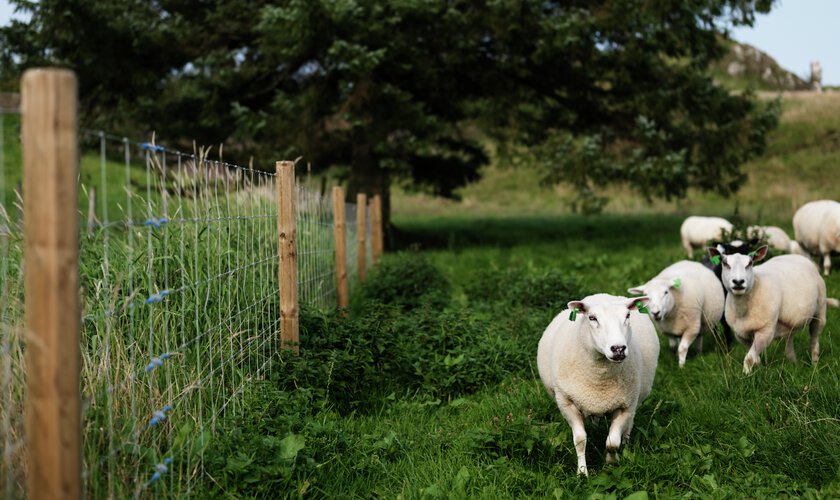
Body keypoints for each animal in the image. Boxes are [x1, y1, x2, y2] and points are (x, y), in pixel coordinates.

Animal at [536, 292, 660, 476]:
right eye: (592, 318)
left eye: (627, 316)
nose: (618, 349)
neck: (599, 380)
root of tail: (603, 295)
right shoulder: (567, 402)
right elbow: (580, 439)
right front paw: (582, 473)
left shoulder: (625, 405)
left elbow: (612, 442)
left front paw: (611, 462)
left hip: (635, 400)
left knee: (629, 426)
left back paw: (626, 444)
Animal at [708, 244, 828, 374]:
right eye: (724, 263)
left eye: (750, 263)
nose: (738, 282)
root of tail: (796, 256)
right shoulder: (741, 335)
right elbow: (755, 358)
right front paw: (757, 371)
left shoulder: (765, 330)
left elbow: (749, 359)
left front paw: (746, 375)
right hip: (789, 322)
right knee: (789, 341)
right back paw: (793, 364)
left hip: (820, 312)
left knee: (814, 340)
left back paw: (814, 366)